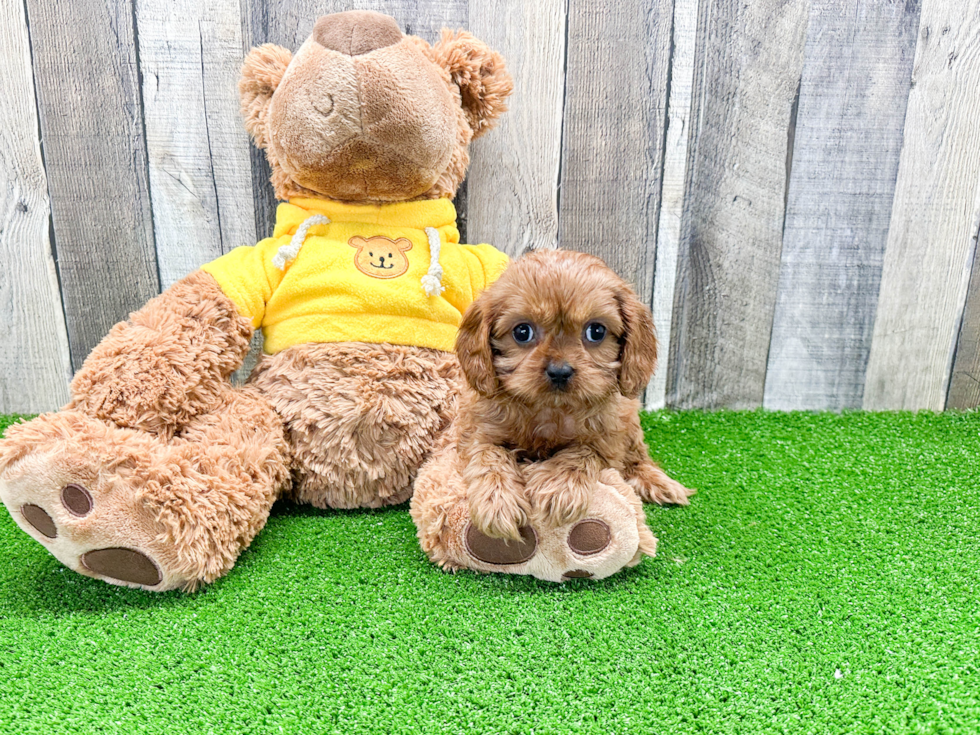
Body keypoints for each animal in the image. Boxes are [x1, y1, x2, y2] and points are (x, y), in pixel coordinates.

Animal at [456, 250, 692, 544]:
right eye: (522, 332)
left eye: (596, 331)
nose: (559, 372)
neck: (551, 409)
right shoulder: (478, 432)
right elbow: (489, 456)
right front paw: (497, 502)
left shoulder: (606, 439)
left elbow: (582, 451)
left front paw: (558, 487)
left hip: (630, 421)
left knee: (637, 457)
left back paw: (658, 481)